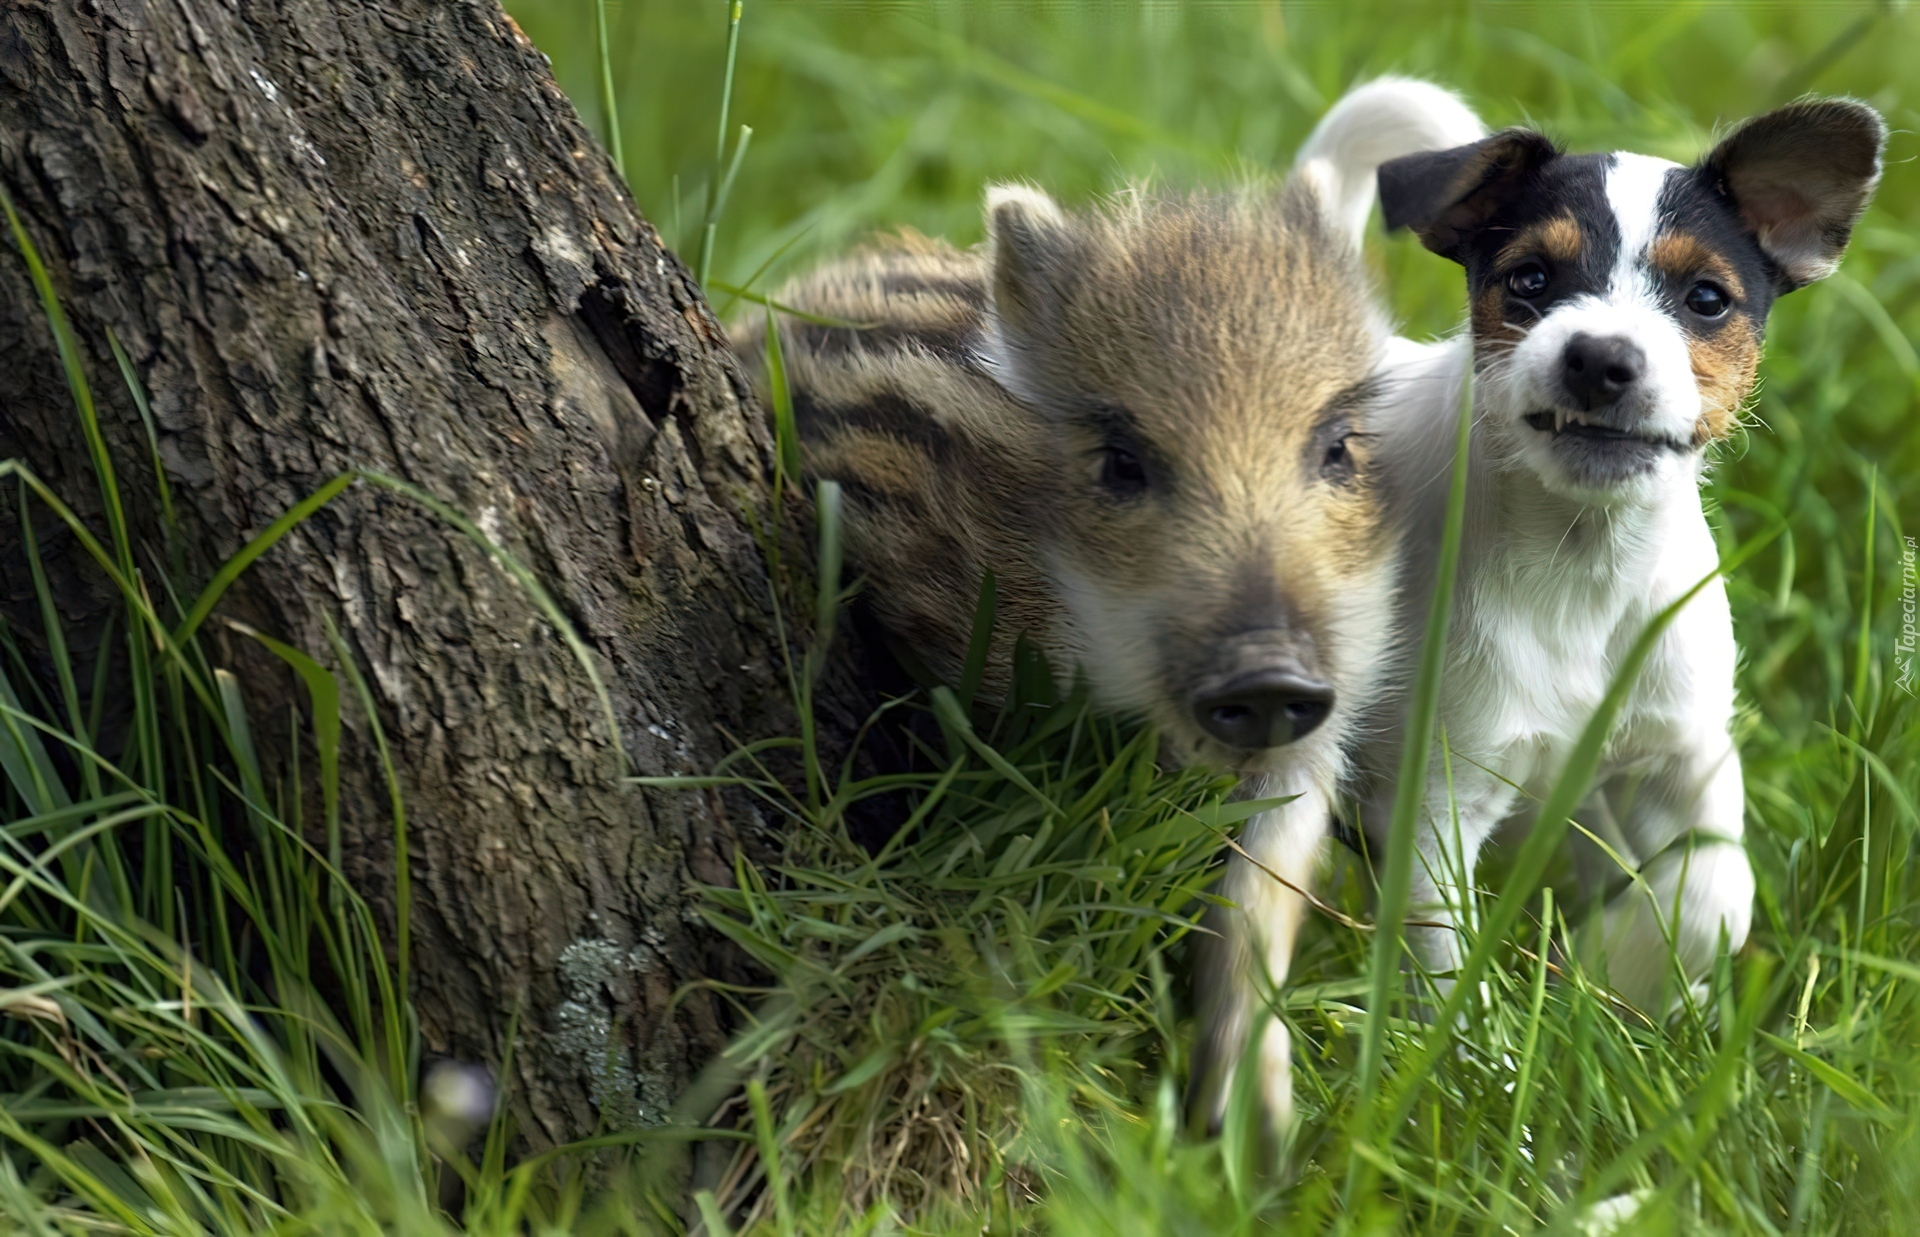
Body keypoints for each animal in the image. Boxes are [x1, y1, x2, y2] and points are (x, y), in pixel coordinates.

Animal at [1359, 94, 1881, 1006]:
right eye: (1530, 280)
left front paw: (1621, 969)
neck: (1582, 565)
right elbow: (1442, 965)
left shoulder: (1687, 759)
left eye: (1706, 298)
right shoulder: (1434, 804)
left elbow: (1715, 898)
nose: (1601, 358)